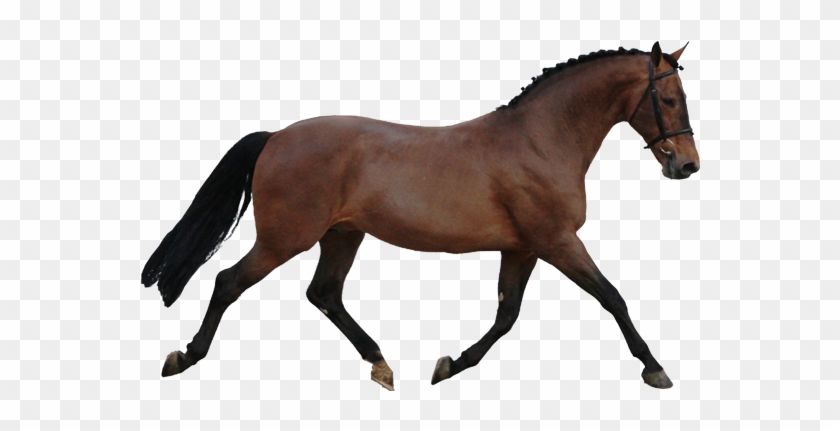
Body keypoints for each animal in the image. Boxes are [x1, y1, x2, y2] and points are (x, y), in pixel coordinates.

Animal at [142, 42, 699, 391]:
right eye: (670, 99)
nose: (687, 166)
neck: (540, 140)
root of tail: (276, 137)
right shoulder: (558, 242)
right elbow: (612, 298)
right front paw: (655, 369)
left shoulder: (522, 248)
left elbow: (506, 316)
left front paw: (451, 364)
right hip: (286, 239)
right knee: (228, 282)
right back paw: (185, 356)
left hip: (342, 235)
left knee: (323, 294)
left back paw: (381, 364)